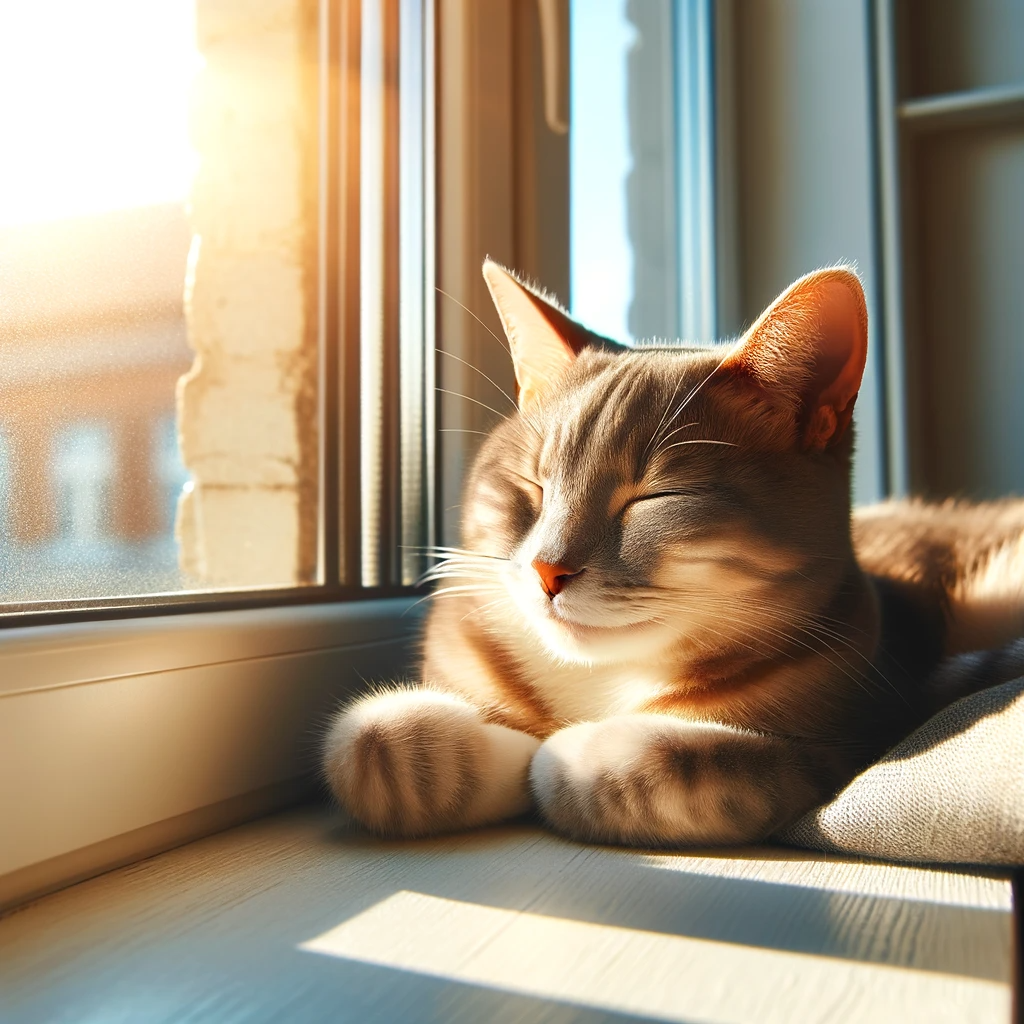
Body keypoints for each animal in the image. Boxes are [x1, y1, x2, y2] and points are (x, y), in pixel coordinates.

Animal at [323, 260, 1024, 843]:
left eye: (656, 497)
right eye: (533, 485)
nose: (548, 570)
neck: (604, 680)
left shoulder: (833, 743)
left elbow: (612, 767)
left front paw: (553, 754)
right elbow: (372, 743)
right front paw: (497, 747)